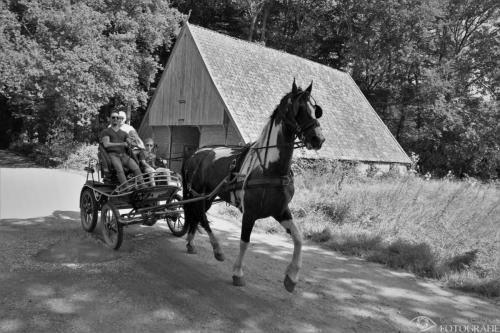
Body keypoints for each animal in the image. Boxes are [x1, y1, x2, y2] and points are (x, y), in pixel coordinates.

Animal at [182, 80, 326, 290]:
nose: (318, 139)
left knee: (198, 215)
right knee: (201, 216)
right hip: (198, 193)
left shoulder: (280, 210)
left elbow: (299, 239)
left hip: (207, 195)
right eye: (298, 109)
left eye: (315, 110)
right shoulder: (249, 213)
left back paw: (192, 242)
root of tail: (195, 153)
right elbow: (244, 241)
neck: (269, 168)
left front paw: (291, 277)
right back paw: (217, 248)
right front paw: (238, 273)